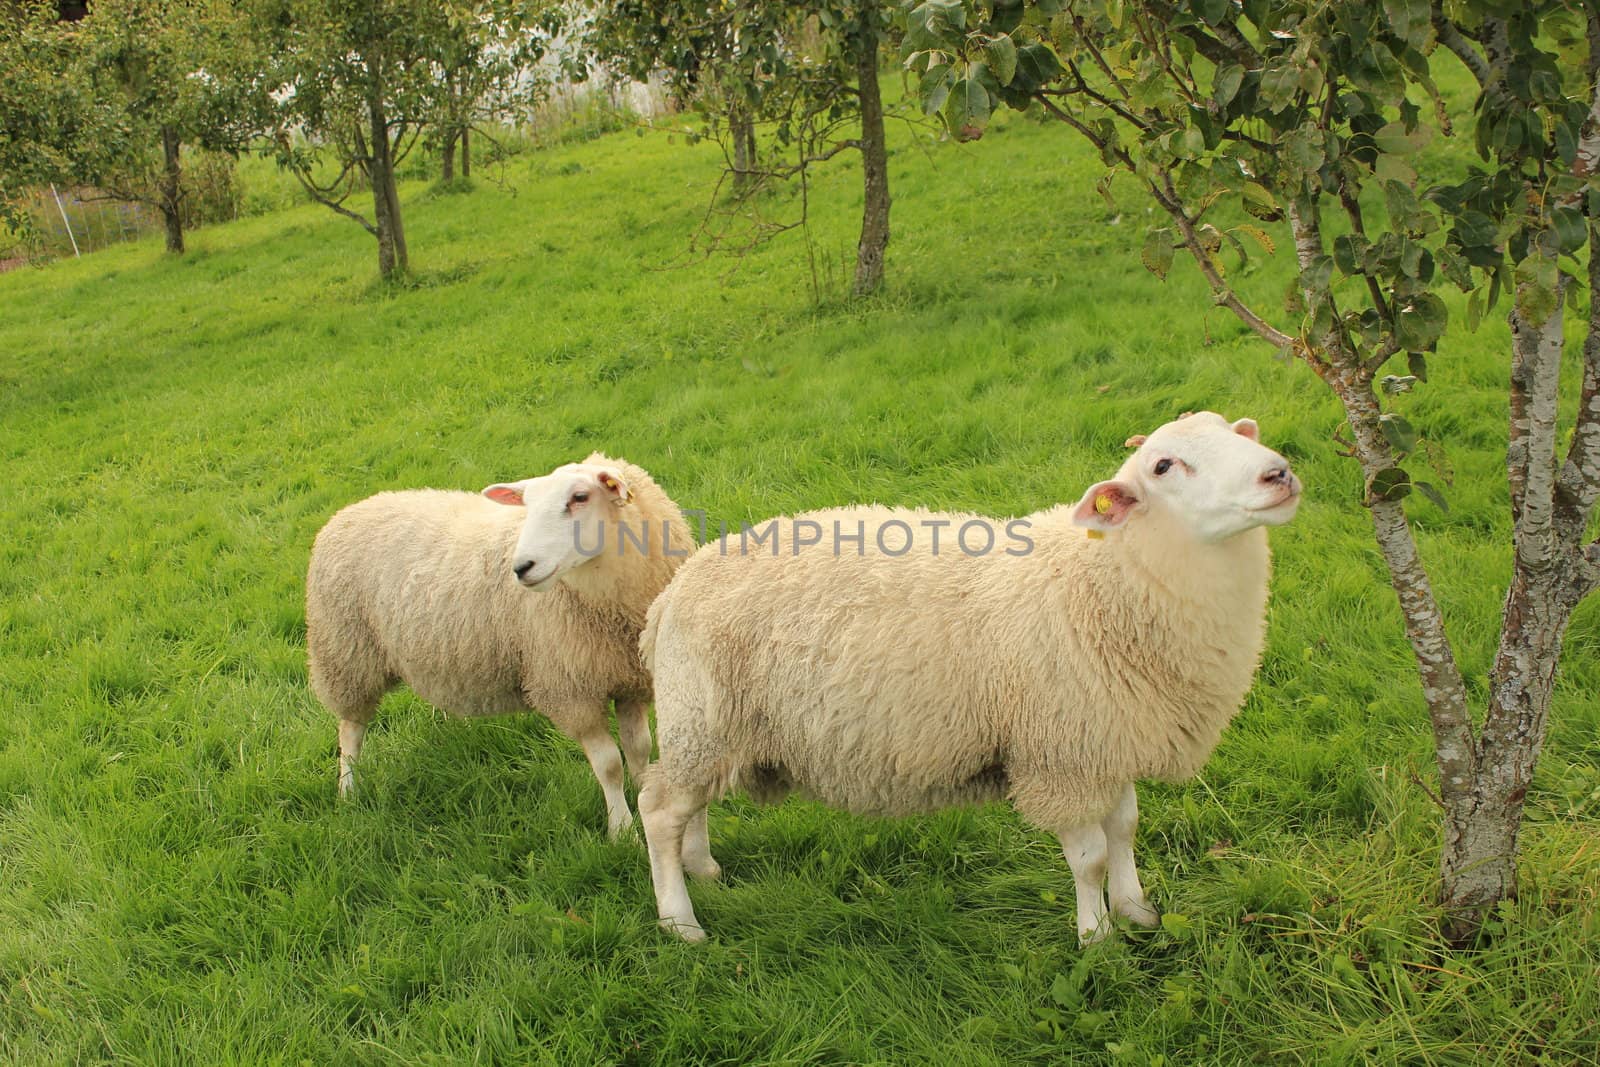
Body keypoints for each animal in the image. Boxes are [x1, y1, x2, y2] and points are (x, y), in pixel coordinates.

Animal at [305, 451, 694, 831]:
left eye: (580, 497)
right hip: (345, 654)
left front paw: (644, 796)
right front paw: (622, 829)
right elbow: (609, 765)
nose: (521, 567)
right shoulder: (570, 690)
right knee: (350, 731)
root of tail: (349, 510)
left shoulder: (629, 682)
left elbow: (640, 749)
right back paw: (348, 790)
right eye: (528, 505)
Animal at [636, 412, 1299, 940]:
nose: (1279, 474)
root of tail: (669, 595)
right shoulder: (1059, 753)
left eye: (1234, 431)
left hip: (707, 728)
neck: (1100, 583)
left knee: (690, 806)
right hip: (701, 718)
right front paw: (1097, 937)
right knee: (659, 808)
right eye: (1163, 465)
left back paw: (703, 870)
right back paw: (680, 920)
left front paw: (1137, 910)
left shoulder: (1105, 737)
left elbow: (1125, 828)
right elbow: (1087, 857)